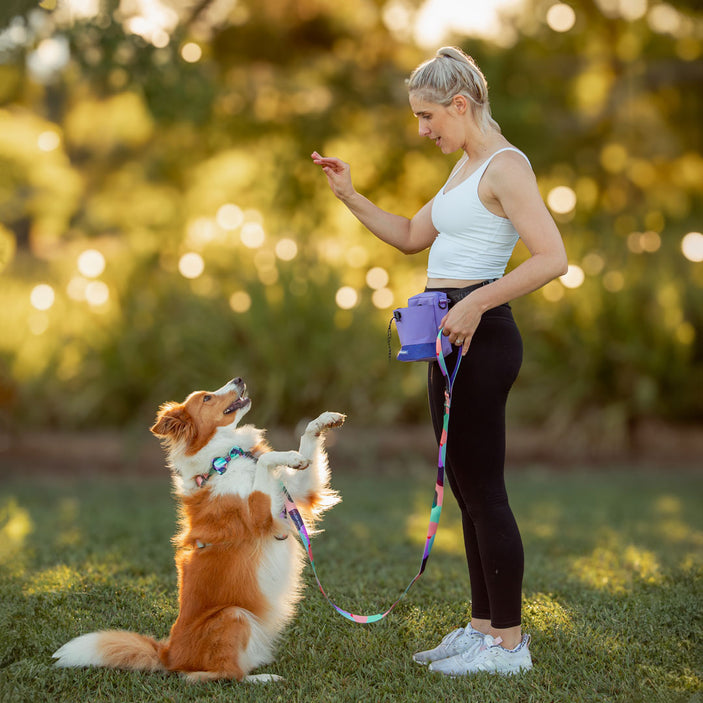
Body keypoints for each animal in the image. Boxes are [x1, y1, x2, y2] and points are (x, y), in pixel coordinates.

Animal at [52, 380, 344, 680]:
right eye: (206, 398)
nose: (239, 379)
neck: (226, 458)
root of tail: (168, 654)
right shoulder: (260, 515)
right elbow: (265, 462)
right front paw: (287, 455)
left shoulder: (296, 493)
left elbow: (305, 444)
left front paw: (323, 421)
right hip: (234, 615)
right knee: (219, 675)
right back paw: (262, 678)